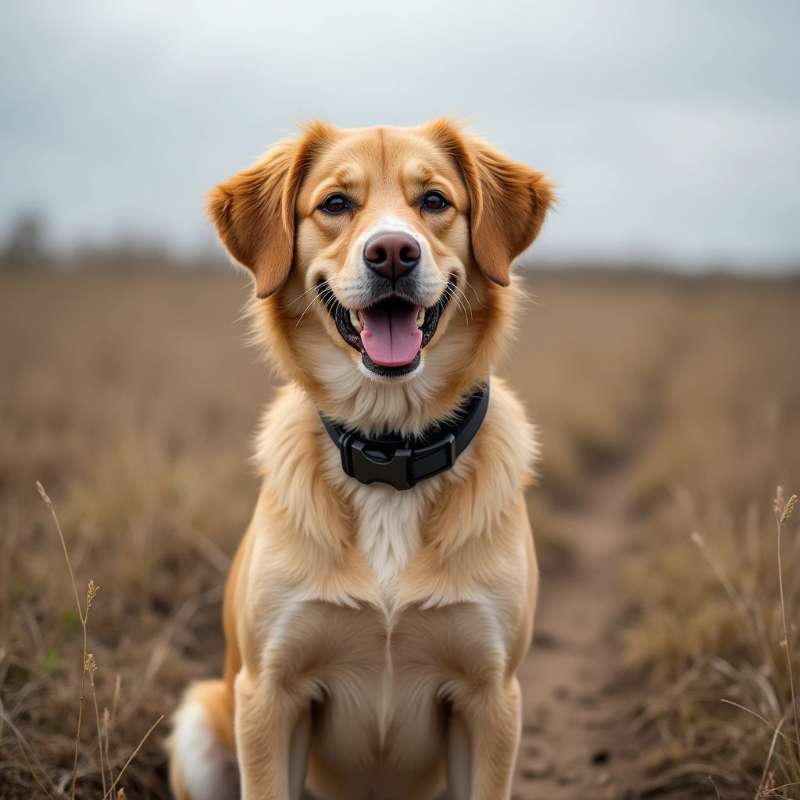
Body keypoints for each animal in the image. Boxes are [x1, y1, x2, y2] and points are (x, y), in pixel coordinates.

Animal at [167, 119, 556, 800]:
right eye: (335, 204)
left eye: (434, 200)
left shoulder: (490, 696)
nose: (393, 253)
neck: (389, 451)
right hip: (201, 719)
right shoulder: (269, 693)